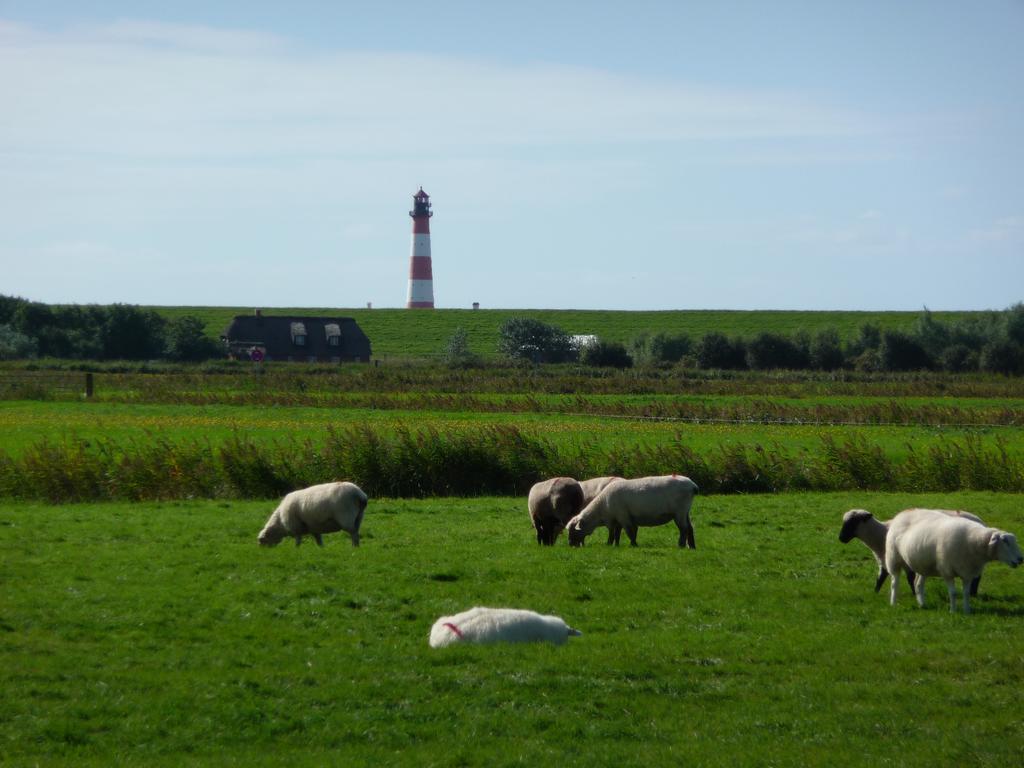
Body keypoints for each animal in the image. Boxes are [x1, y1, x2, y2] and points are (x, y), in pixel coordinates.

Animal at [565, 473, 700, 548]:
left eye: (573, 530)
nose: (570, 545)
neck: (602, 508)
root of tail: (693, 486)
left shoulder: (622, 516)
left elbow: (627, 532)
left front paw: (632, 545)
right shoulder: (619, 518)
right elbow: (619, 533)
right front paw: (615, 545)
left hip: (680, 512)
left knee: (684, 529)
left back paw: (681, 545)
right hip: (685, 512)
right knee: (690, 528)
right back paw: (692, 546)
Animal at [839, 507, 983, 598]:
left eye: (853, 521)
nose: (841, 538)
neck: (880, 534)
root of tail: (979, 520)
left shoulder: (906, 561)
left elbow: (910, 578)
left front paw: (914, 594)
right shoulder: (883, 561)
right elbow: (880, 578)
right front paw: (875, 593)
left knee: (977, 576)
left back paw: (973, 594)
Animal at [884, 507, 1019, 618]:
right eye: (1005, 541)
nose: (1020, 559)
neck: (973, 542)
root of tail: (903, 512)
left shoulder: (967, 572)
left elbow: (966, 593)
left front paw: (967, 611)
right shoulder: (947, 571)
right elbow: (953, 593)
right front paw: (953, 611)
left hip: (923, 564)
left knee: (918, 584)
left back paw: (922, 604)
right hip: (893, 558)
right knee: (895, 582)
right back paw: (893, 603)